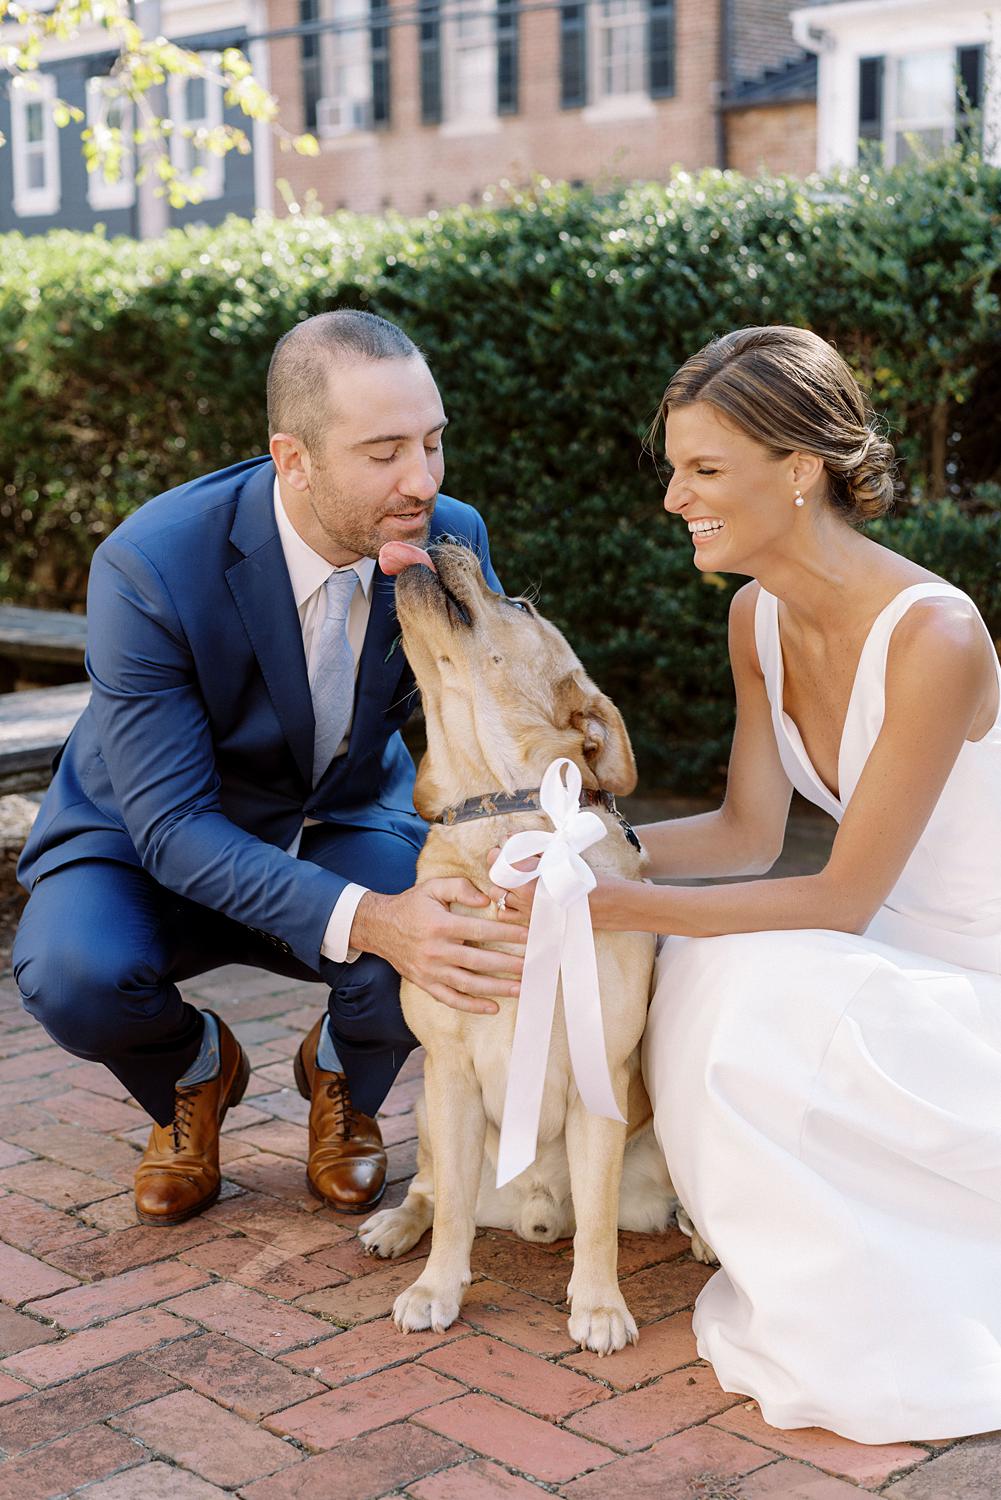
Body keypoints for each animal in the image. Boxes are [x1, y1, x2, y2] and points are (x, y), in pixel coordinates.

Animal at [355, 546, 678, 1356]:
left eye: (523, 606)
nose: (442, 533)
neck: (501, 812)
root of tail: (533, 1214)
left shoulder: (602, 1070)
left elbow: (597, 1222)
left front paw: (598, 1304)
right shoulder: (449, 1070)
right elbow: (450, 1218)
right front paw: (436, 1289)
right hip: (430, 1112)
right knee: (432, 1191)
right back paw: (394, 1225)